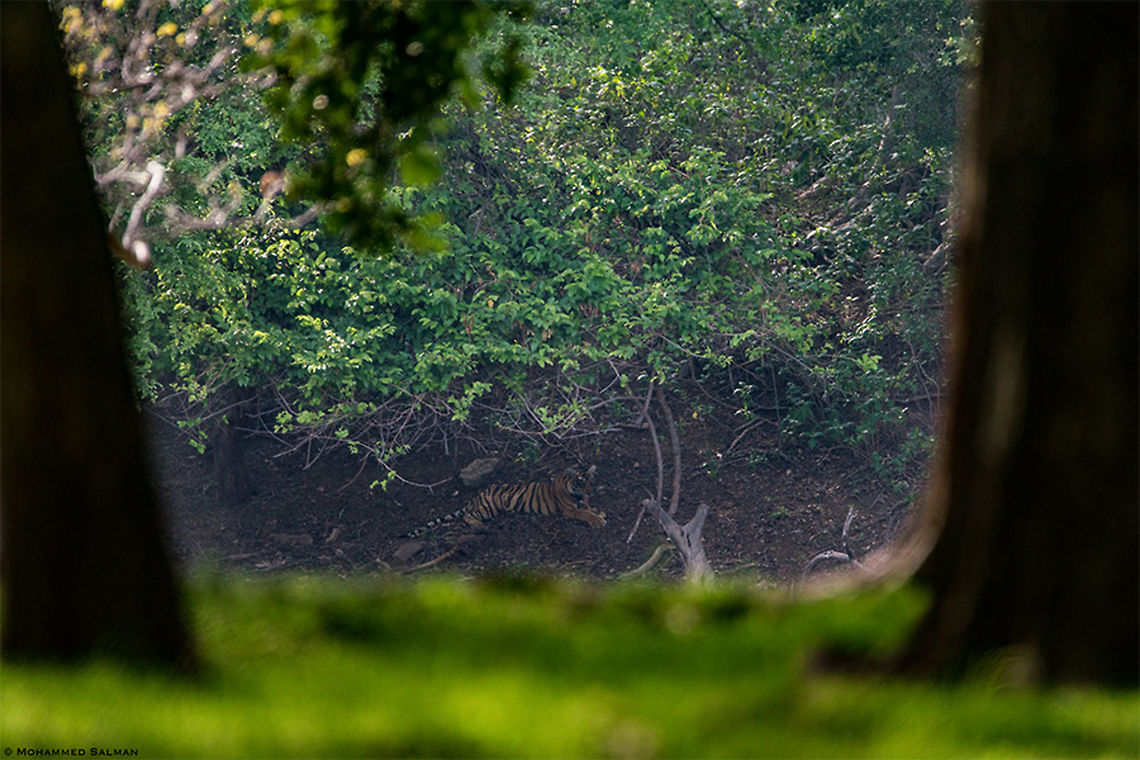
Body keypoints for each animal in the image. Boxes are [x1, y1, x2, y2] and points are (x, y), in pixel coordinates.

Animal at [402, 465, 605, 538]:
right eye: (581, 483)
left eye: (591, 482)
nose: (590, 492)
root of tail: (476, 496)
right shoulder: (569, 509)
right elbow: (584, 513)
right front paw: (597, 520)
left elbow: (588, 507)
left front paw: (599, 512)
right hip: (489, 508)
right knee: (468, 516)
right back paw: (479, 525)